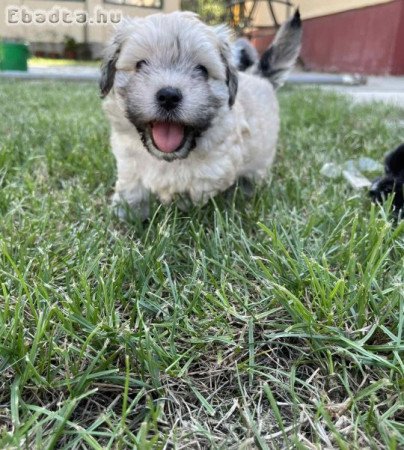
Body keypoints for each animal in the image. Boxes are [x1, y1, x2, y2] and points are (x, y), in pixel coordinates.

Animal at [101, 8, 302, 216]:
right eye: (140, 64)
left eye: (202, 70)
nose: (169, 96)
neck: (170, 158)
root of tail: (260, 77)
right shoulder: (128, 160)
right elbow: (132, 185)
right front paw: (127, 211)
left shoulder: (215, 171)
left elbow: (192, 191)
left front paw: (181, 210)